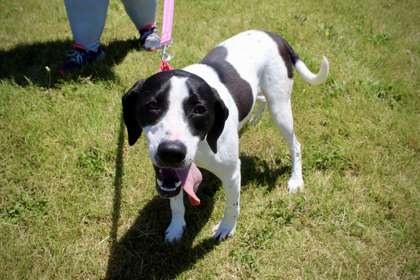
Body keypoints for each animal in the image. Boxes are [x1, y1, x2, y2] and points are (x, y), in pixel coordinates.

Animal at [121, 29, 328, 242]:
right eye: (152, 105)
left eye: (200, 109)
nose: (171, 152)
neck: (203, 143)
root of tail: (274, 35)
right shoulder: (170, 173)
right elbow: (176, 201)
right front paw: (176, 227)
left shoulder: (232, 173)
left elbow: (232, 206)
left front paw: (226, 227)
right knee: (260, 99)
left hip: (280, 108)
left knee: (295, 144)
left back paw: (296, 180)